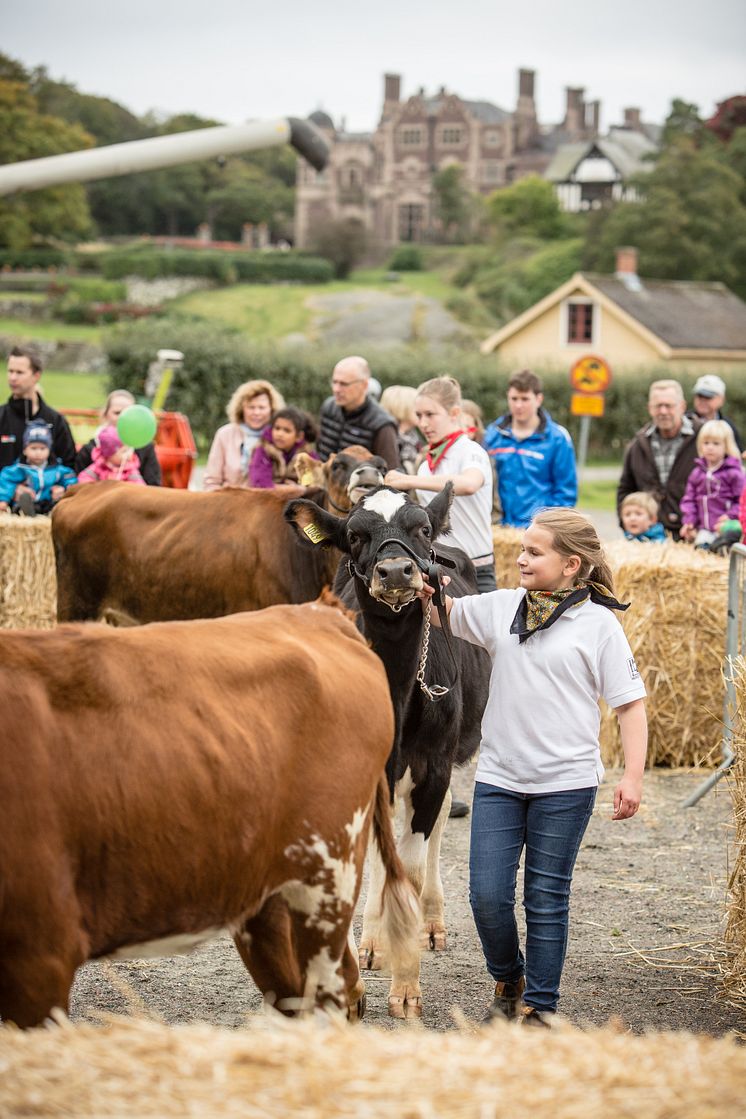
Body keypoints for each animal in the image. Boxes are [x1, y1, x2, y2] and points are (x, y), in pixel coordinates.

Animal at [284, 485, 489, 1020]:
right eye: (355, 535)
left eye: (422, 528)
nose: (396, 571)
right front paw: (354, 979)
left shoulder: (434, 766)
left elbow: (411, 870)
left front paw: (407, 986)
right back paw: (375, 941)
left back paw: (428, 925)